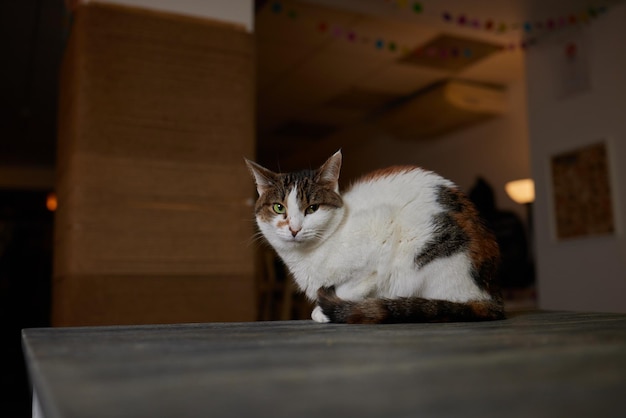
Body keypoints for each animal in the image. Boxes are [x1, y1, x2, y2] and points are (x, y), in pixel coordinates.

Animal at [244, 150, 502, 324]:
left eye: (312, 209)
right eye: (279, 208)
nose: (294, 229)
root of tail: (488, 294)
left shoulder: (383, 229)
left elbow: (353, 285)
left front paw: (324, 310)